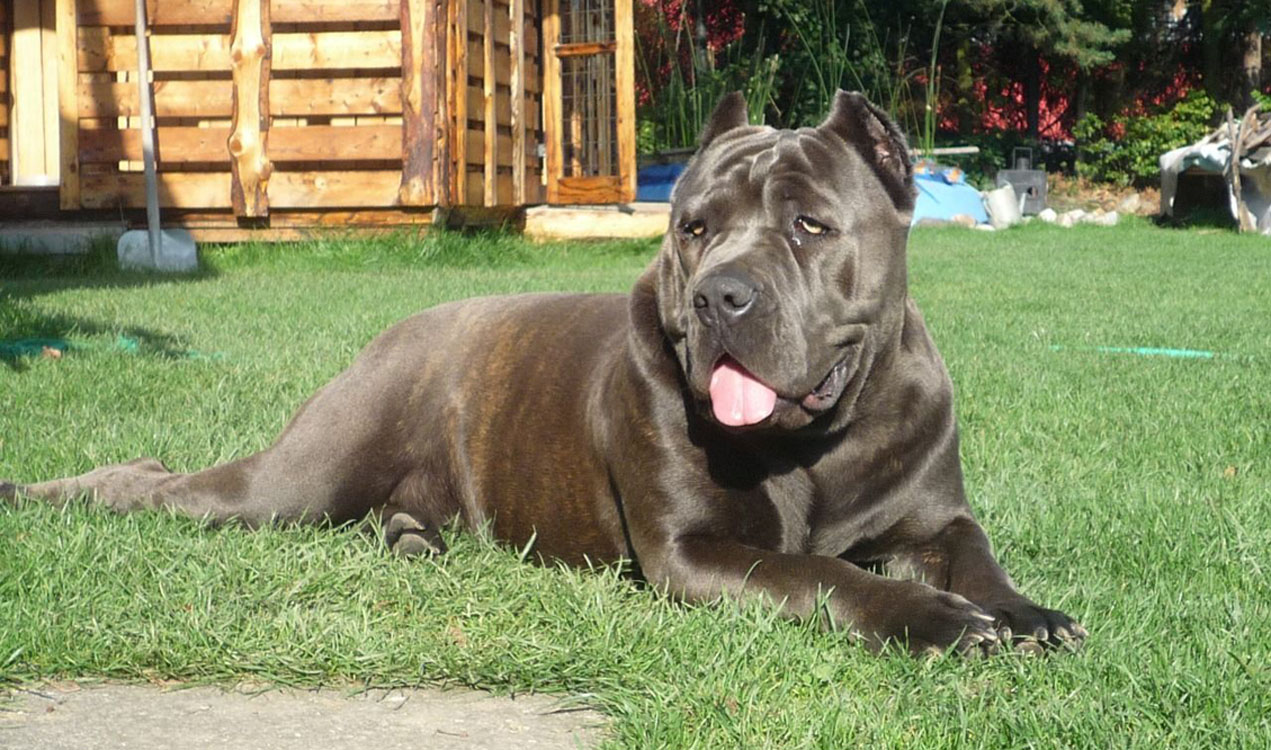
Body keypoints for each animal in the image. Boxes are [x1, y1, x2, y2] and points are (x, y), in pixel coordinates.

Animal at [3, 91, 1084, 655]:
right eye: (693, 228)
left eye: (811, 225)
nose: (721, 296)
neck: (820, 441)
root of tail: (398, 328)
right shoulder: (693, 553)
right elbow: (821, 574)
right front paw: (937, 621)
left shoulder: (934, 517)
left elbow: (976, 556)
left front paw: (1024, 612)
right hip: (289, 485)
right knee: (156, 482)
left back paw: (413, 540)